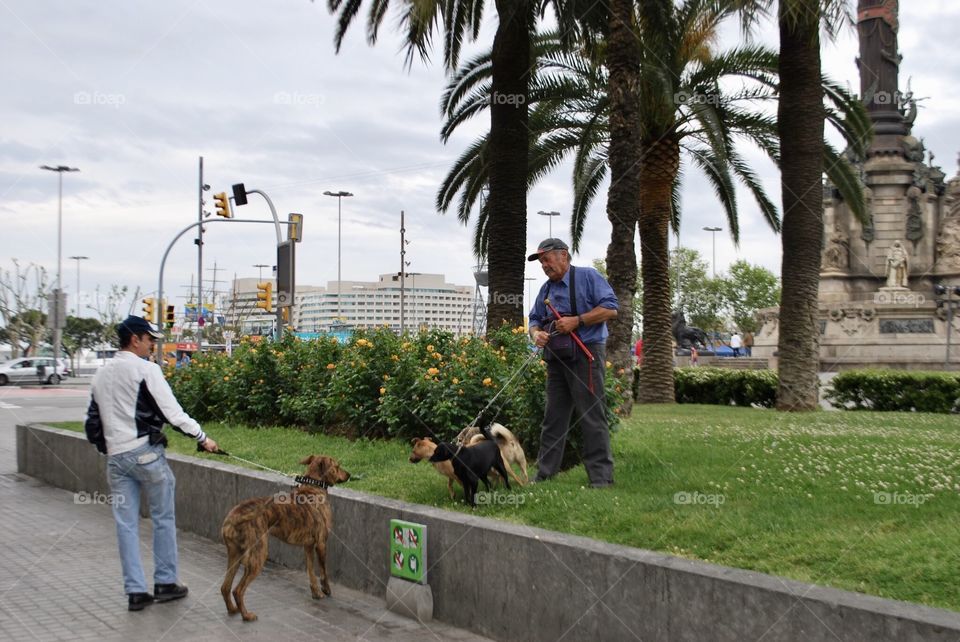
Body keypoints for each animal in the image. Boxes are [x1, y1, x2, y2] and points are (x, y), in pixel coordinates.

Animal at [220, 452, 348, 616]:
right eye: (337, 466)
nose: (349, 475)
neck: (313, 488)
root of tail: (234, 516)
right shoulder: (321, 544)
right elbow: (323, 572)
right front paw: (326, 590)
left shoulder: (308, 546)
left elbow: (311, 571)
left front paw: (316, 593)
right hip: (258, 554)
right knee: (238, 590)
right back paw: (247, 616)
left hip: (234, 555)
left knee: (225, 587)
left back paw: (232, 610)